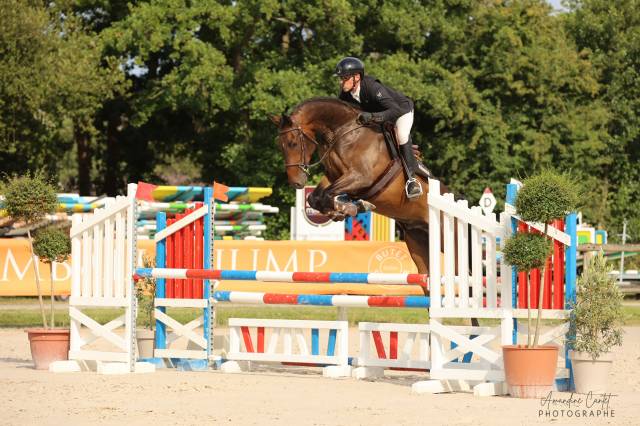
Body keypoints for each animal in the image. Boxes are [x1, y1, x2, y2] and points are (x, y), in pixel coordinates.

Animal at [271, 97, 438, 277]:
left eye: (293, 143)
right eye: (279, 146)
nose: (296, 182)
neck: (342, 132)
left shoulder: (361, 177)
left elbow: (327, 194)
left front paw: (349, 207)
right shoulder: (334, 176)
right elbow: (315, 198)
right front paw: (342, 210)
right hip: (416, 239)